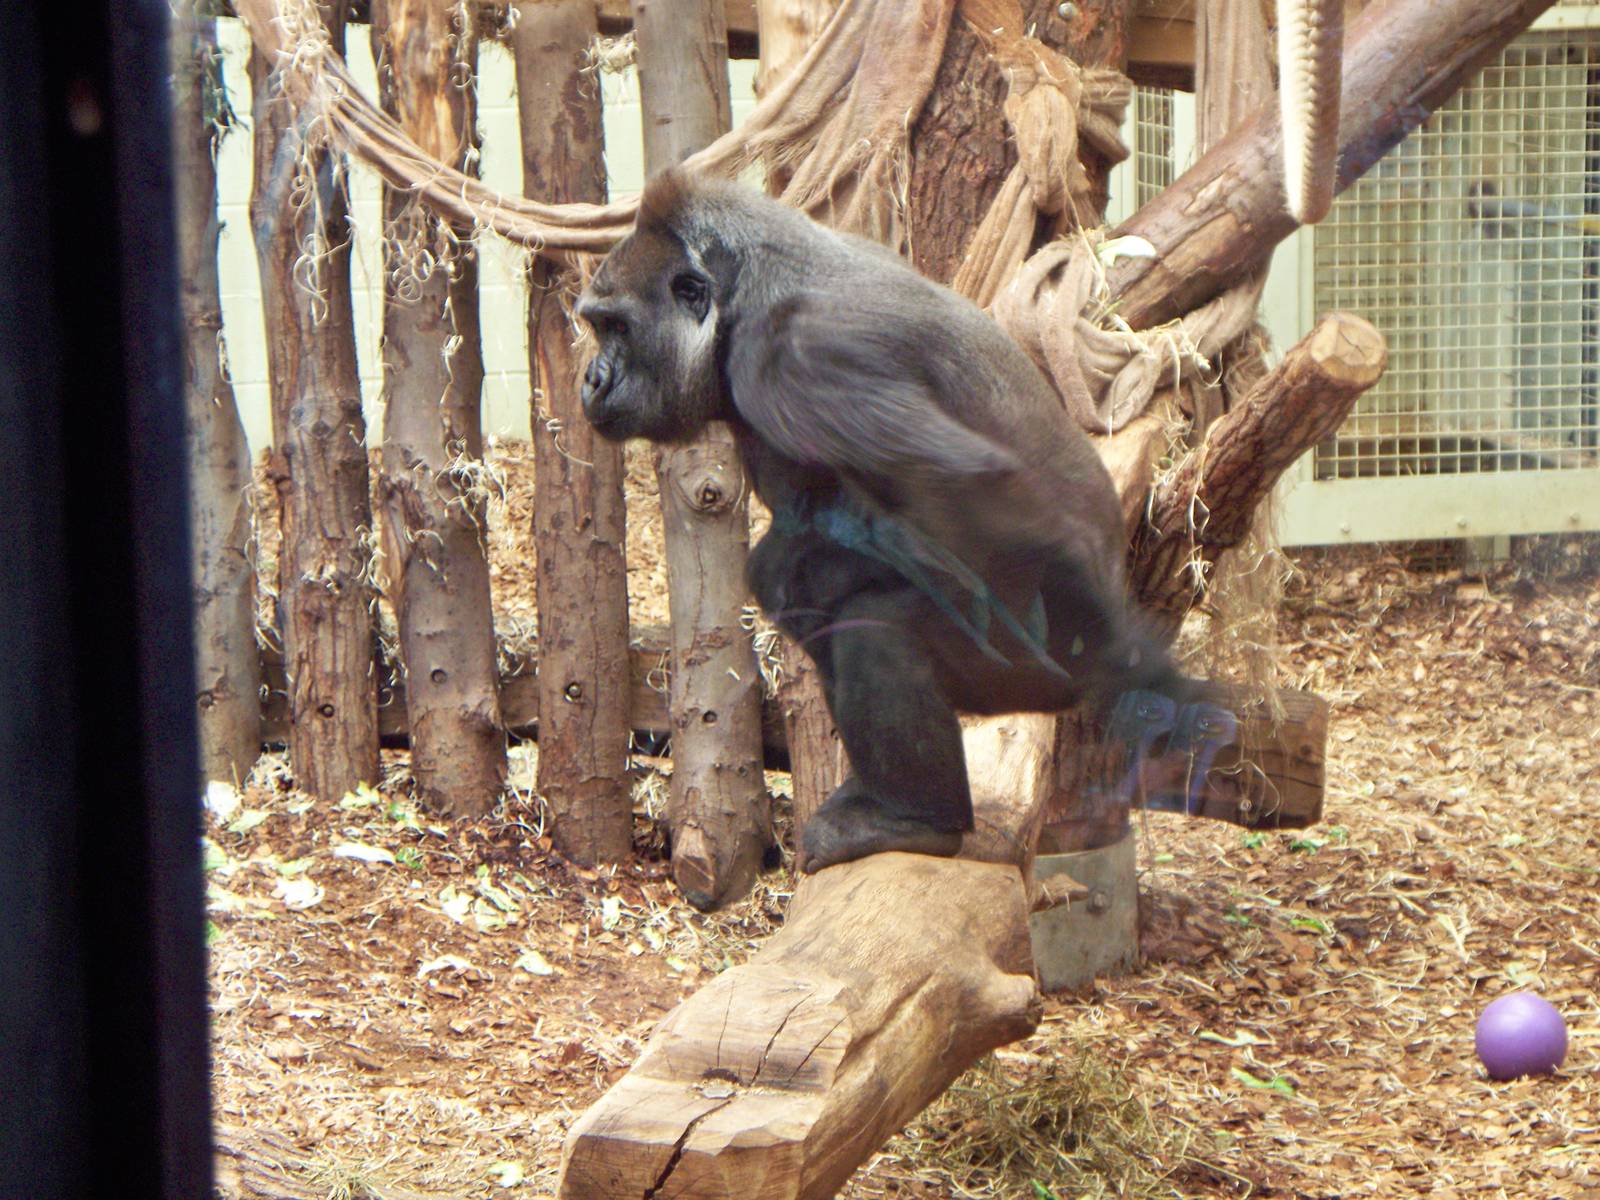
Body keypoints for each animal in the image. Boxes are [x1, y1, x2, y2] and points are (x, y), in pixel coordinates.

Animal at [576, 168, 1234, 874]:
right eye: (598, 326)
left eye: (616, 328)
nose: (592, 381)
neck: (741, 292)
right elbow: (804, 540)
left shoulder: (799, 355)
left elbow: (974, 484)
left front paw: (1139, 666)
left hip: (1036, 672)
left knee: (880, 632)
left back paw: (923, 819)